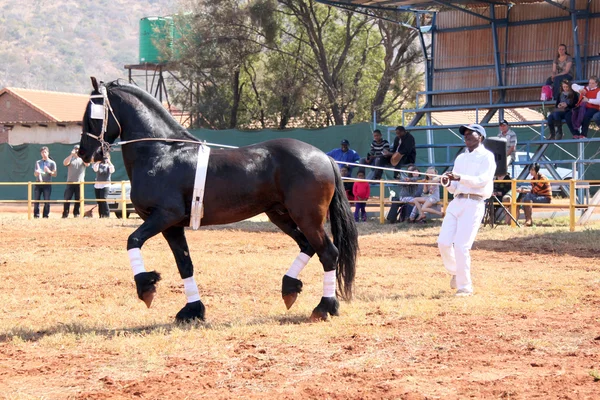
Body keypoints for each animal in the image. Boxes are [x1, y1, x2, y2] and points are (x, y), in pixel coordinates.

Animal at [75, 79, 356, 324]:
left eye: (92, 113)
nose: (84, 152)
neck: (161, 151)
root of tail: (324, 156)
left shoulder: (164, 216)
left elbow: (132, 240)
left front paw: (147, 287)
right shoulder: (172, 226)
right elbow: (185, 264)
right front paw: (192, 310)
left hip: (307, 217)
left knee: (328, 253)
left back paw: (324, 307)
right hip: (281, 216)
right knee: (309, 247)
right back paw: (290, 289)